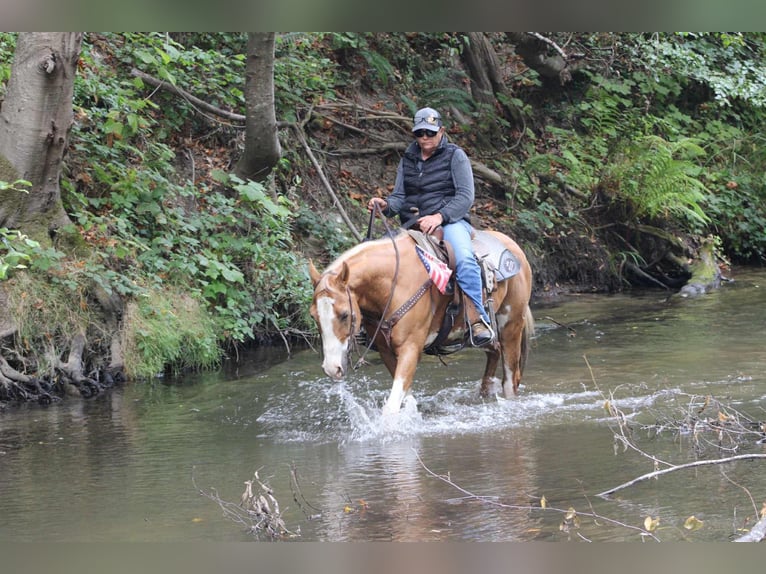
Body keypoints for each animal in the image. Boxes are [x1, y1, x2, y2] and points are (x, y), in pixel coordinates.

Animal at [308, 229, 533, 415]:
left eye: (345, 314)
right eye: (313, 316)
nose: (332, 368)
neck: (393, 284)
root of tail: (514, 247)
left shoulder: (410, 346)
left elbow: (391, 406)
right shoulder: (386, 350)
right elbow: (406, 398)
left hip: (511, 325)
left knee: (510, 380)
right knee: (493, 352)